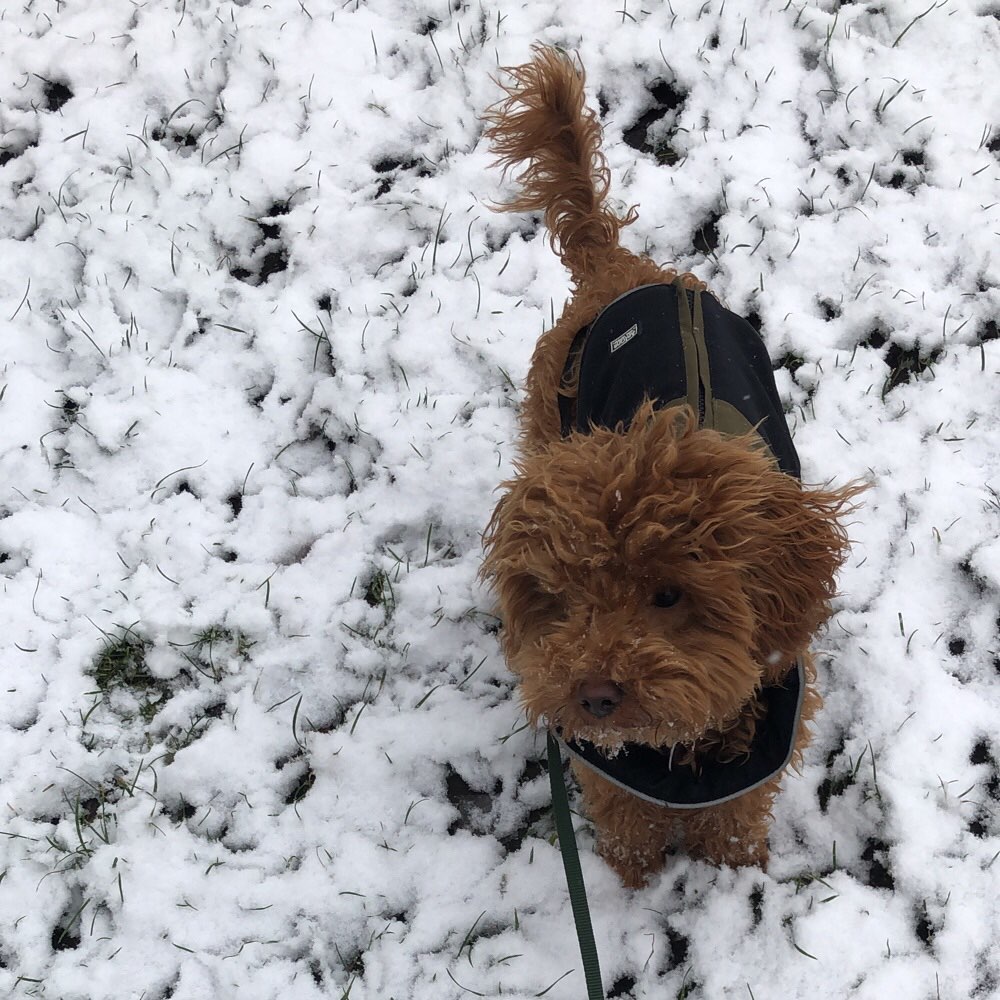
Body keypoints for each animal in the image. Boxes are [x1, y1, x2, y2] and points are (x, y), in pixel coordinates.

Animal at [482, 50, 860, 888]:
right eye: (567, 598)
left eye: (668, 594)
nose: (594, 694)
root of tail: (615, 265)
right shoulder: (606, 762)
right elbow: (626, 821)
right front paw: (632, 885)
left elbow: (734, 820)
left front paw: (735, 873)